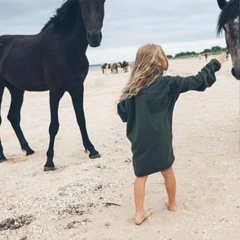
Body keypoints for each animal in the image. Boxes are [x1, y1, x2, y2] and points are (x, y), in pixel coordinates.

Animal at [0, 0, 105, 171]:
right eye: (82, 3)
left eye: (102, 2)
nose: (94, 37)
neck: (65, 48)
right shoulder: (55, 92)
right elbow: (53, 125)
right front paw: (49, 161)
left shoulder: (77, 89)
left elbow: (81, 119)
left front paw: (92, 150)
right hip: (1, 88)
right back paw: (2, 155)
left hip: (17, 90)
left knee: (13, 116)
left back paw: (28, 149)